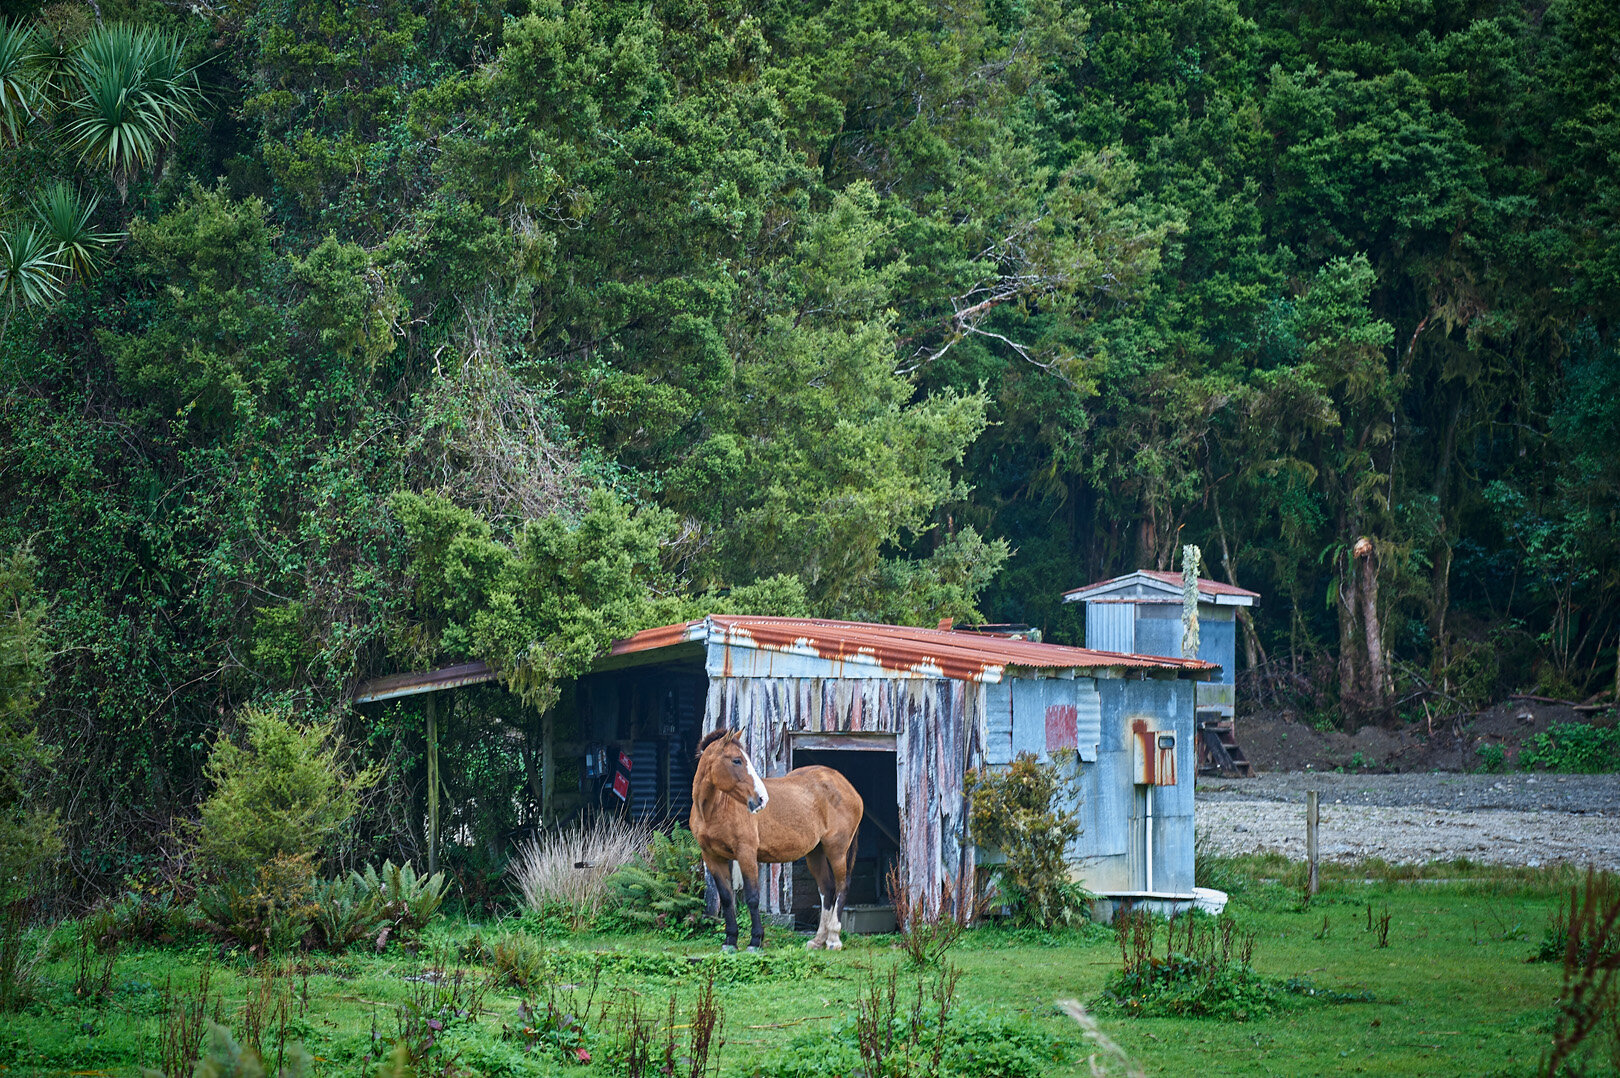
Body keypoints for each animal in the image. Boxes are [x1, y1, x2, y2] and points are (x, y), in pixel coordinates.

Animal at [686, 732, 861, 953]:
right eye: (737, 760)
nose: (761, 799)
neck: (714, 809)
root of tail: (846, 785)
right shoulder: (712, 857)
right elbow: (726, 899)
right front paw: (730, 941)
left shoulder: (746, 853)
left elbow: (753, 898)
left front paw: (755, 941)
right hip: (816, 852)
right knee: (827, 889)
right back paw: (817, 940)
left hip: (836, 849)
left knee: (842, 886)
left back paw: (833, 940)